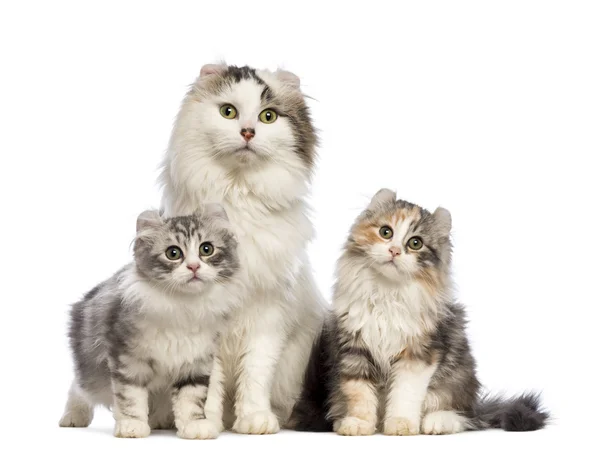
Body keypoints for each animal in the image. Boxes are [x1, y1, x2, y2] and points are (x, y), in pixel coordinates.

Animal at [58, 207, 240, 438]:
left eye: (206, 249)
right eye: (173, 253)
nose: (194, 266)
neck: (184, 306)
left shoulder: (196, 362)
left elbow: (191, 399)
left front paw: (195, 426)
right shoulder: (128, 359)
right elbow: (131, 398)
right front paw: (132, 427)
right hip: (92, 374)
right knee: (78, 387)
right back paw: (73, 417)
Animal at [158, 64, 328, 434]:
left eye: (268, 116)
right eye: (228, 112)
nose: (248, 132)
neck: (238, 197)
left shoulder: (268, 316)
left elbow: (255, 375)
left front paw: (254, 420)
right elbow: (210, 385)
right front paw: (205, 422)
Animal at [292, 189, 552, 434]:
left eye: (415, 243)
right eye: (386, 232)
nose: (394, 251)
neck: (388, 293)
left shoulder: (417, 355)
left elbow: (404, 394)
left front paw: (400, 424)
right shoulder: (355, 350)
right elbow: (359, 395)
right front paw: (359, 424)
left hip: (456, 381)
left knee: (464, 417)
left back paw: (436, 423)